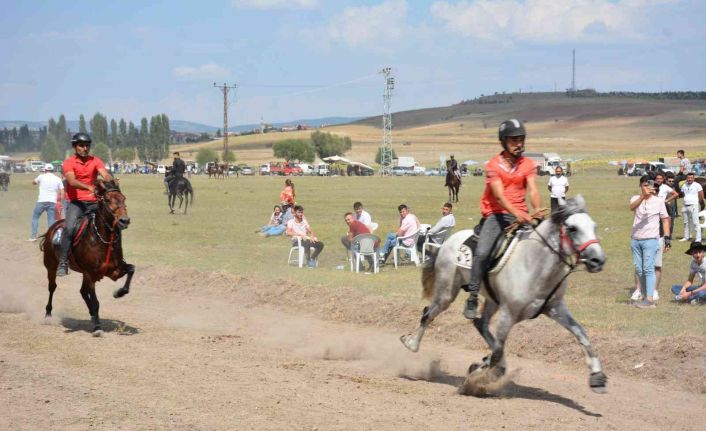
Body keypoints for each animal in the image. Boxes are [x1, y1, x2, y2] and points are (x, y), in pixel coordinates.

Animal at [40, 181, 135, 336]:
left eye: (123, 198)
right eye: (107, 200)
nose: (124, 220)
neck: (101, 239)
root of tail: (52, 228)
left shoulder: (114, 271)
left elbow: (131, 269)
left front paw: (119, 293)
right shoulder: (90, 274)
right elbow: (96, 302)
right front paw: (97, 328)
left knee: (83, 292)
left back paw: (92, 316)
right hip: (51, 266)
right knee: (52, 287)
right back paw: (48, 314)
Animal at [398, 197, 608, 396]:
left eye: (594, 226)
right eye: (572, 228)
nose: (598, 260)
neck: (535, 263)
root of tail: (447, 242)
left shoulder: (555, 307)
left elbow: (581, 333)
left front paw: (597, 377)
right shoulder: (508, 313)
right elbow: (498, 351)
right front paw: (478, 378)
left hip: (492, 300)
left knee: (480, 323)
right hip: (447, 292)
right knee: (429, 313)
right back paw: (411, 343)